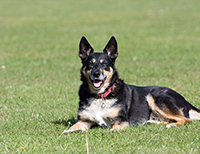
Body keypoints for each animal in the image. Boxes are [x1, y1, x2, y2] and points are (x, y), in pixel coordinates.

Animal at [62, 36, 200, 134]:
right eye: (90, 64)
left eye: (104, 64)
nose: (96, 74)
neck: (100, 96)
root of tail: (185, 101)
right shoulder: (84, 121)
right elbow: (72, 128)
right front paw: (65, 132)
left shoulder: (123, 121)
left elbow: (114, 127)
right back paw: (151, 123)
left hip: (155, 97)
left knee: (186, 120)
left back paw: (170, 125)